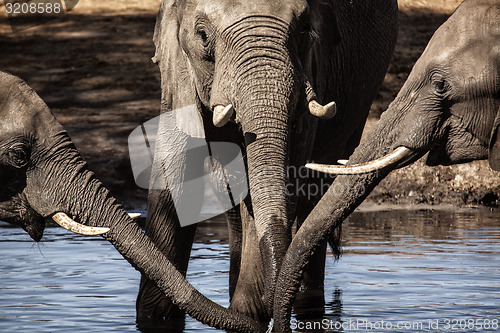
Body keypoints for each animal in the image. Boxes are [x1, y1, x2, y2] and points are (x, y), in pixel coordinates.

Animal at [137, 0, 398, 324]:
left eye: (304, 30)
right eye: (202, 35)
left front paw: (249, 312)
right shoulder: (177, 72)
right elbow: (176, 174)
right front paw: (154, 315)